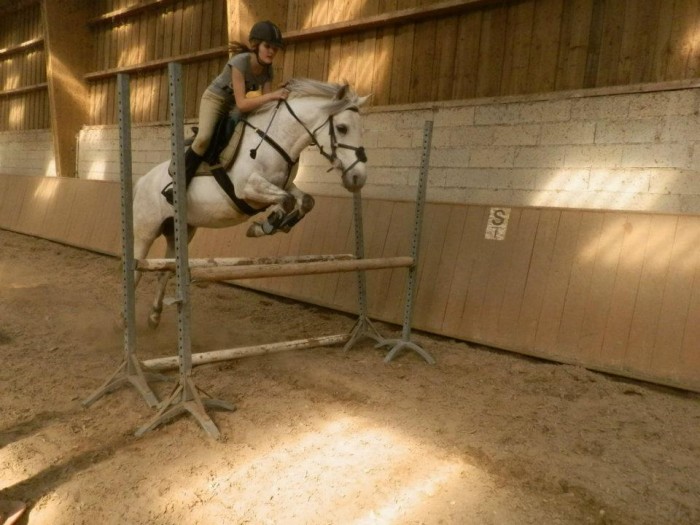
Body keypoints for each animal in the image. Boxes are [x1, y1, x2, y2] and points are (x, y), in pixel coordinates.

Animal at [132, 78, 370, 328]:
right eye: (342, 128)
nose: (358, 178)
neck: (277, 140)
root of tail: (143, 181)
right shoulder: (247, 187)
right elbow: (285, 201)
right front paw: (266, 224)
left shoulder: (285, 185)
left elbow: (305, 200)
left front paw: (275, 224)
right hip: (146, 230)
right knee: (137, 270)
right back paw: (124, 321)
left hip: (180, 232)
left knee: (165, 270)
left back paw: (154, 316)